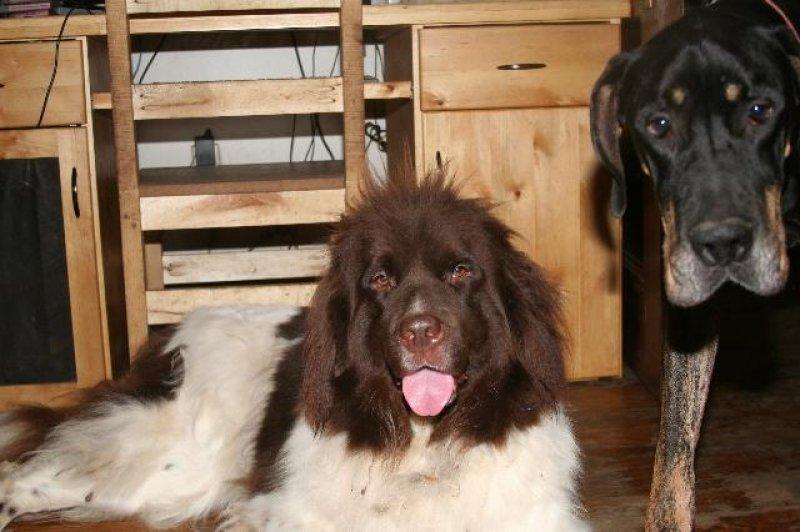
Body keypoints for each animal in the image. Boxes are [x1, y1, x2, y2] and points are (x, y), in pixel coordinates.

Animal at [0, 176, 586, 531]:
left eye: (462, 271)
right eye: (380, 280)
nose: (420, 330)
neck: (421, 446)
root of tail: (172, 334)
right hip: (167, 457)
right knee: (27, 477)